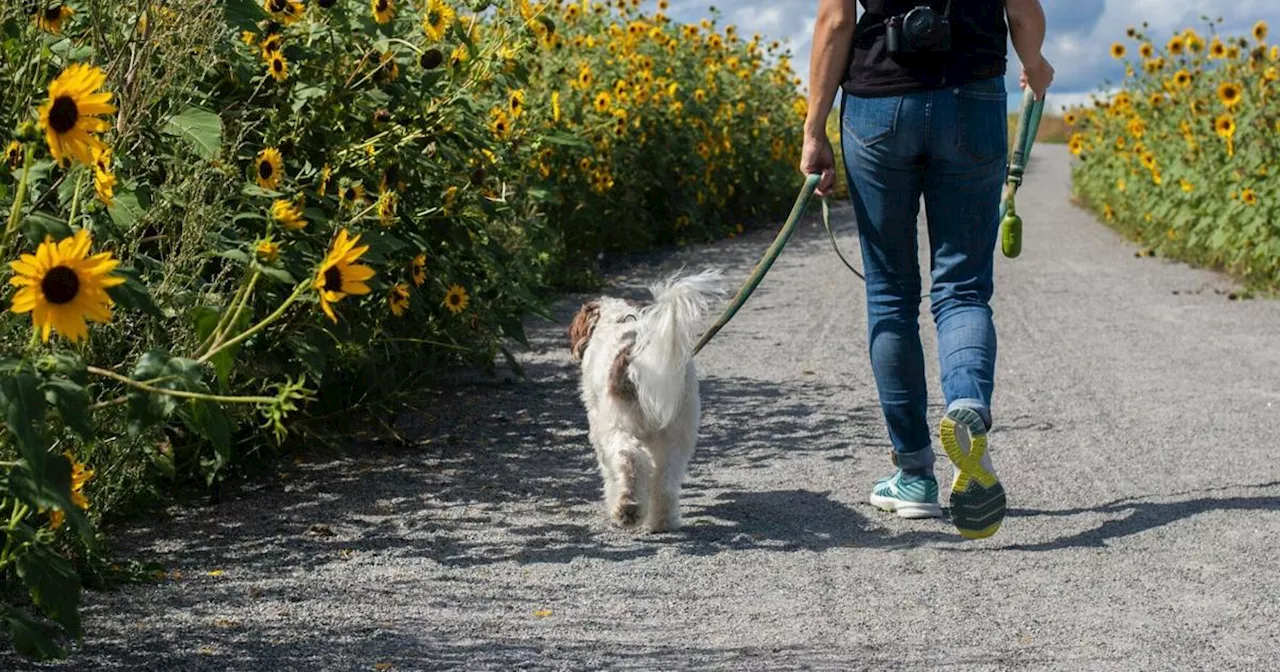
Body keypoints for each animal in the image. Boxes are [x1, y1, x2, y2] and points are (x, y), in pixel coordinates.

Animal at [568, 267, 727, 529]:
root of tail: (636, 356)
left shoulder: (599, 427)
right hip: (677, 432)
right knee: (666, 479)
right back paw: (662, 521)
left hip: (618, 427)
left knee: (630, 459)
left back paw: (627, 509)